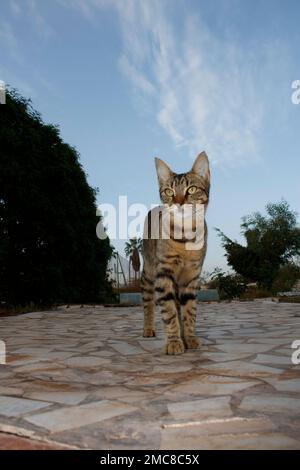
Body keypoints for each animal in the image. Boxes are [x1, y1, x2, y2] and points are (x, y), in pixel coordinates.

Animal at [141, 152, 210, 354]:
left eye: (191, 189)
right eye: (169, 192)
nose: (179, 203)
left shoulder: (191, 277)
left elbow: (189, 311)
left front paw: (189, 338)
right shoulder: (164, 274)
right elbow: (169, 311)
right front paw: (173, 341)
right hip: (149, 272)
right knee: (148, 301)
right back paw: (148, 328)